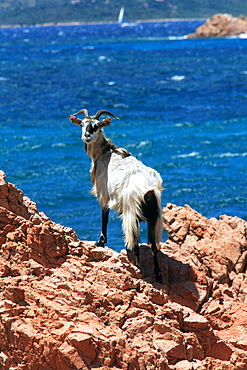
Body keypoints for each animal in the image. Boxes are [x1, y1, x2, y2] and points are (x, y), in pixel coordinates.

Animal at [69, 108, 164, 282]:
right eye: (82, 124)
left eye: (97, 125)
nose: (87, 135)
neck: (105, 153)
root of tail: (148, 190)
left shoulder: (103, 196)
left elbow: (104, 217)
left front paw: (100, 242)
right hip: (155, 218)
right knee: (153, 247)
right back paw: (158, 276)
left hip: (131, 215)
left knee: (134, 244)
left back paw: (138, 269)